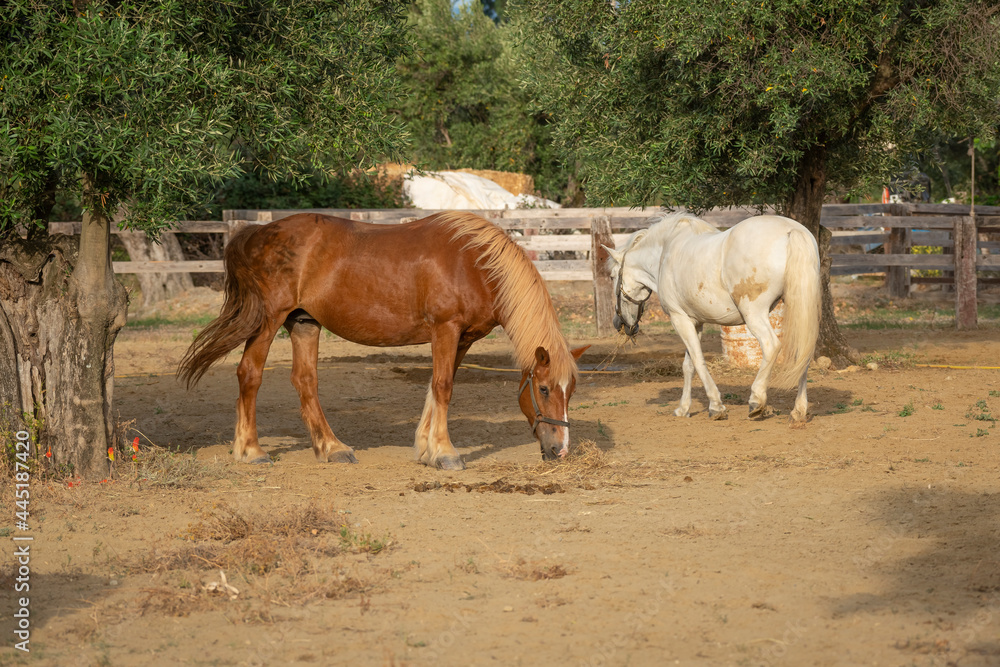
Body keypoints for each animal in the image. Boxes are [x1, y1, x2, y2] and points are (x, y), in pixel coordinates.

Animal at [179, 213, 584, 470]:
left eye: (571, 391)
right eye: (544, 389)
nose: (560, 450)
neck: (474, 264)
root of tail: (259, 231)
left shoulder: (462, 339)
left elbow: (435, 387)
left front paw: (426, 449)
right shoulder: (445, 329)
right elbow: (443, 386)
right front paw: (445, 453)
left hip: (304, 323)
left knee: (305, 381)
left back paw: (332, 448)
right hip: (269, 320)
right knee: (250, 374)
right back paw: (251, 451)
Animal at [604, 214, 824, 422]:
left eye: (613, 276)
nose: (618, 323)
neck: (665, 253)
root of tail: (792, 230)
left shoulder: (680, 319)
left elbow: (698, 360)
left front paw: (716, 406)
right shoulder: (696, 322)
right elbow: (688, 365)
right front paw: (683, 409)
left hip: (754, 314)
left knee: (771, 346)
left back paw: (756, 401)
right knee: (803, 352)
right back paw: (798, 411)